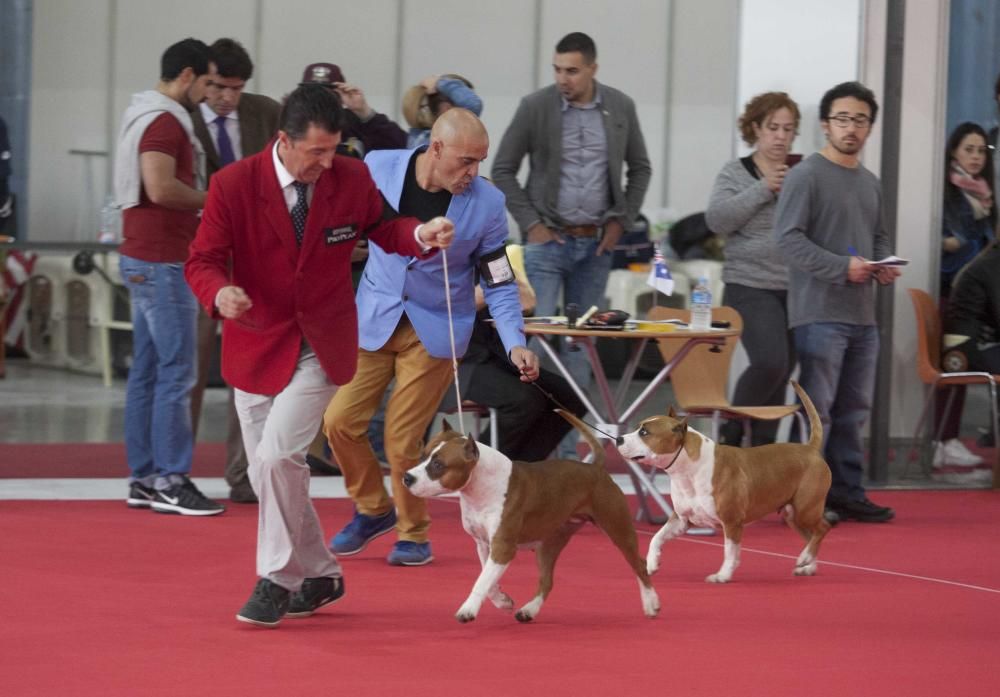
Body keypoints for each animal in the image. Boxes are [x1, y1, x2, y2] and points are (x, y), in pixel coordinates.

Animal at [402, 408, 660, 620]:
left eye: (438, 465)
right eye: (423, 455)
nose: (407, 477)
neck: (480, 486)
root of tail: (595, 468)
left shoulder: (503, 547)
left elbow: (482, 580)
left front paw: (468, 609)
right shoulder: (484, 544)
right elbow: (488, 579)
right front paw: (502, 601)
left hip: (618, 529)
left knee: (639, 564)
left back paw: (651, 603)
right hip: (549, 543)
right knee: (547, 580)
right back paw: (528, 610)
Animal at [616, 380, 828, 580]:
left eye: (645, 432)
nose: (619, 439)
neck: (688, 469)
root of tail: (810, 449)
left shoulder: (731, 521)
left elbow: (730, 551)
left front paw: (723, 575)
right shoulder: (681, 520)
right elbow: (656, 538)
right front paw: (652, 563)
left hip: (805, 510)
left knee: (822, 529)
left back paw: (805, 557)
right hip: (794, 515)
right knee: (811, 535)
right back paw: (808, 565)